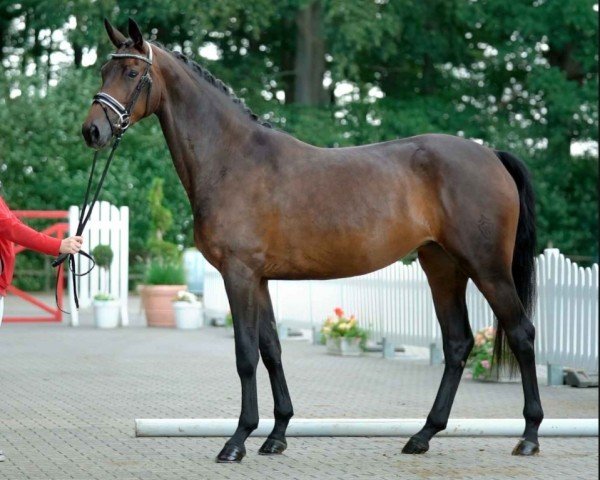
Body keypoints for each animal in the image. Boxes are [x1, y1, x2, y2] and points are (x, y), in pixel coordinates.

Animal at [82, 18, 548, 462]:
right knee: (457, 343)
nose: (92, 131)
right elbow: (271, 349)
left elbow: (246, 354)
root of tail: (491, 155)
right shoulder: (259, 279)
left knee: (521, 333)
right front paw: (276, 435)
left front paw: (237, 441)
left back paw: (528, 436)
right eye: (103, 69)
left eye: (130, 72)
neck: (233, 159)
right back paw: (423, 435)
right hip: (442, 266)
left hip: (486, 267)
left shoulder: (239, 274)